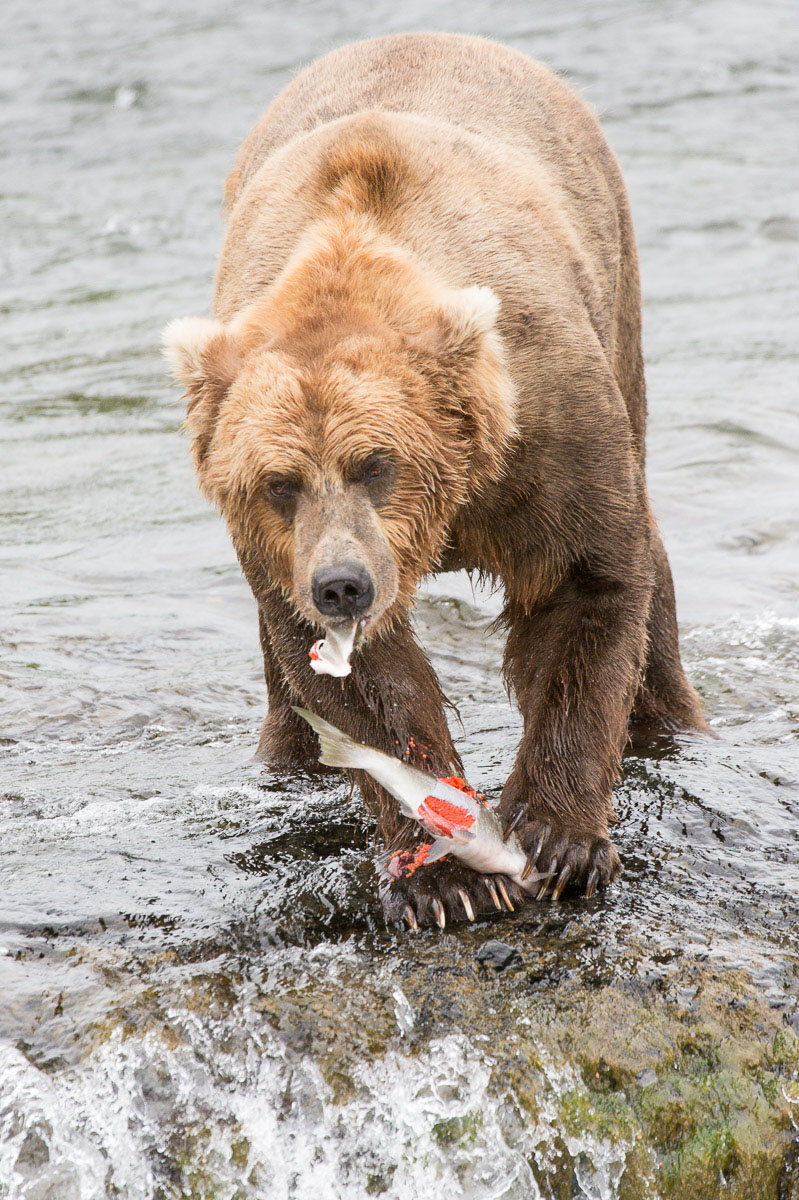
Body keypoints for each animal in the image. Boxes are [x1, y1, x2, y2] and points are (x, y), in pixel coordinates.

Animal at [163, 28, 705, 926]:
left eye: (376, 463)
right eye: (278, 482)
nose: (342, 583)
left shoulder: (542, 430)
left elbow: (584, 585)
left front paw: (558, 840)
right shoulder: (281, 550)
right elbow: (360, 682)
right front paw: (448, 878)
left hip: (615, 286)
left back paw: (667, 720)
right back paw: (288, 756)